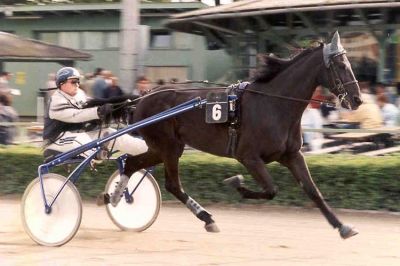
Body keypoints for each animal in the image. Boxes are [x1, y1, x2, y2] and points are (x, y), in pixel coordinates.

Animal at [112, 31, 362, 239]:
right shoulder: (249, 157)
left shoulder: (292, 155)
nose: (357, 99)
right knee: (172, 184)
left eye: (348, 63)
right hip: (168, 147)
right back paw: (205, 217)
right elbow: (271, 190)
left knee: (132, 164)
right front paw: (236, 183)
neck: (273, 104)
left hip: (164, 147)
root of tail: (142, 97)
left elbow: (313, 191)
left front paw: (343, 226)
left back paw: (116, 196)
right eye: (341, 65)